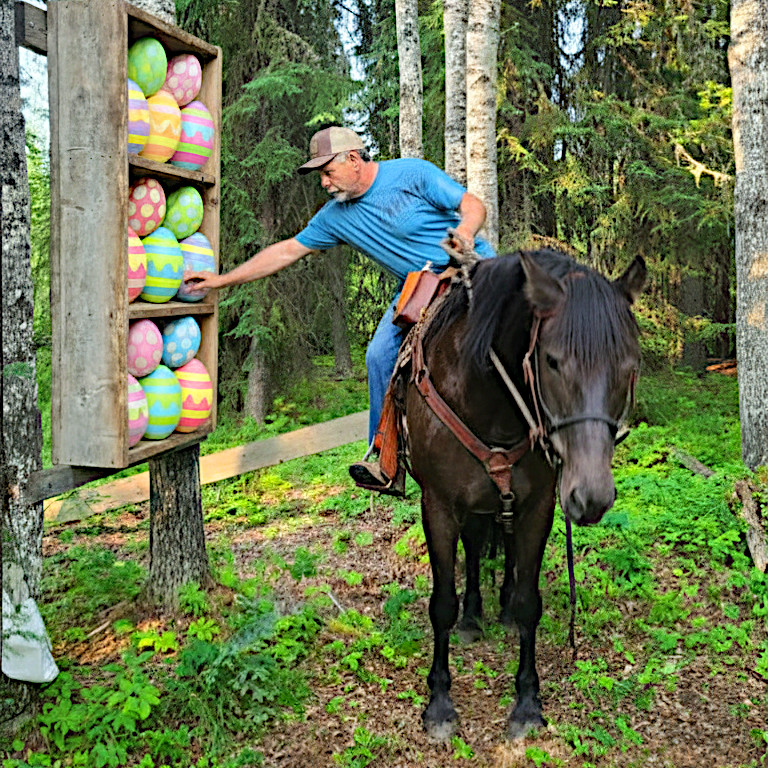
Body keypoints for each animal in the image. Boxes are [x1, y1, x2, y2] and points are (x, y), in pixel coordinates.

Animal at [402, 248, 646, 740]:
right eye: (551, 361)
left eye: (630, 365)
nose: (591, 496)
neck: (489, 401)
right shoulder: (437, 504)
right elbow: (441, 603)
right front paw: (439, 703)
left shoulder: (540, 505)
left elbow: (530, 601)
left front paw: (528, 702)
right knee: (475, 547)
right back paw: (472, 617)